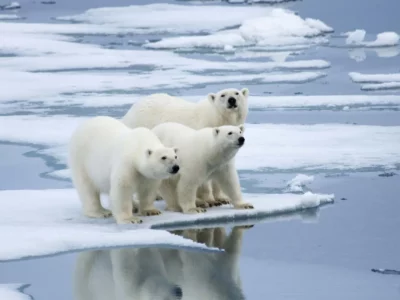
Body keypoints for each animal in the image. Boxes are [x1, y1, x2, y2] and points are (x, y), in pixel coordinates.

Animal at [120, 88, 248, 206]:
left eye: (237, 93)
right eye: (223, 95)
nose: (232, 100)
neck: (216, 118)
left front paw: (223, 198)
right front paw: (210, 200)